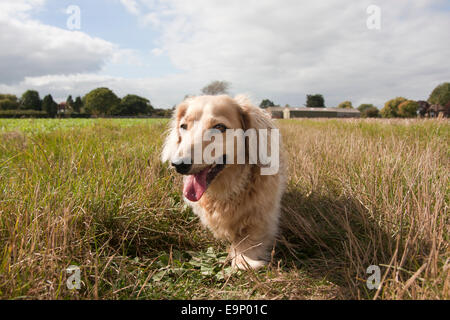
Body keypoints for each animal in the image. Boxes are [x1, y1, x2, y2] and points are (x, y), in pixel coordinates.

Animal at [162, 95, 286, 270]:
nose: (178, 164)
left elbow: (250, 236)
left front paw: (244, 259)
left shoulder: (264, 216)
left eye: (219, 126)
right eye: (183, 126)